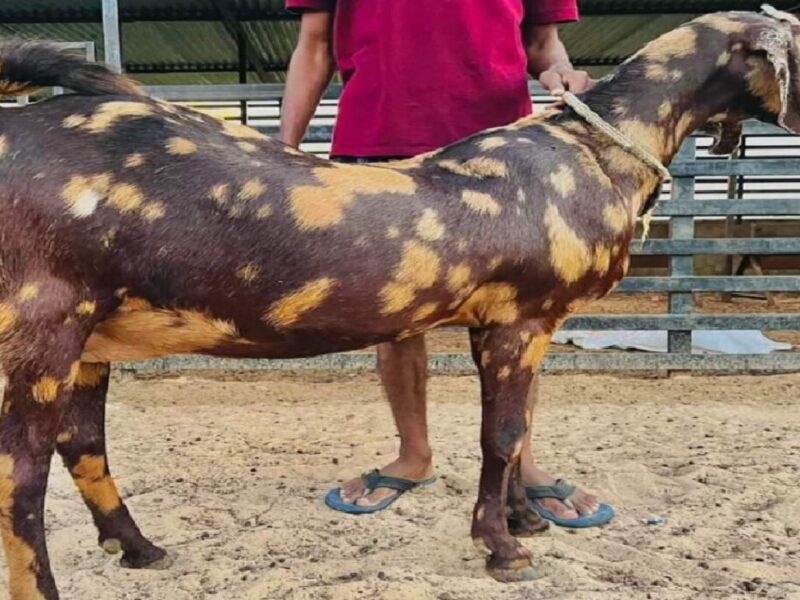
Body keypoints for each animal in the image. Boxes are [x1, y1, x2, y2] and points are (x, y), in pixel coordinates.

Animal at [1, 8, 799, 598]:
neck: (591, 152)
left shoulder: (500, 324)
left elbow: (513, 431)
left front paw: (523, 520)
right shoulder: (521, 320)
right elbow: (500, 436)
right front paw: (503, 548)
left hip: (94, 337)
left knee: (83, 444)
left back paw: (139, 549)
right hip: (41, 325)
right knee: (22, 480)